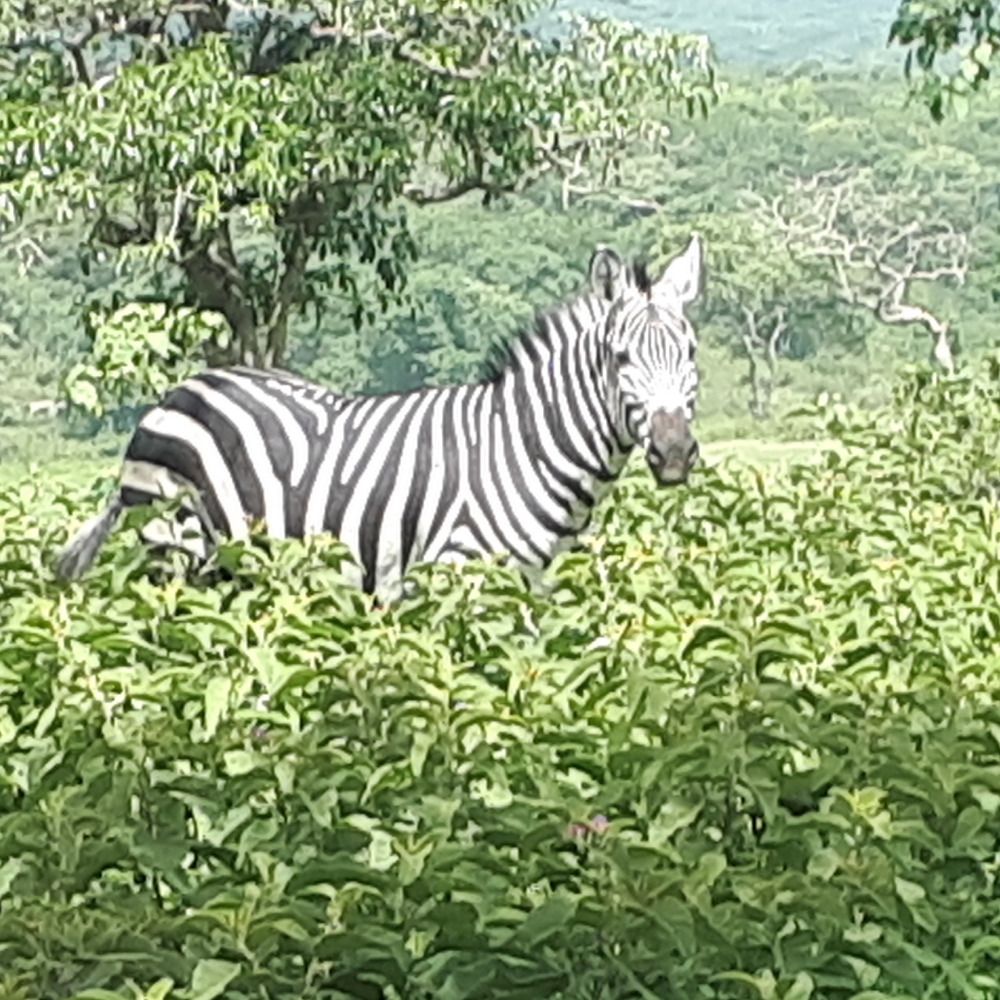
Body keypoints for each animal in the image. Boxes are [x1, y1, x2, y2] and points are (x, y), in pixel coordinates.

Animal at [56, 236, 704, 592]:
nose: (674, 453)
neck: (524, 446)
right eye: (621, 358)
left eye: (691, 352)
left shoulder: (530, 582)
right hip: (174, 551)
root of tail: (175, 394)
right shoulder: (459, 572)